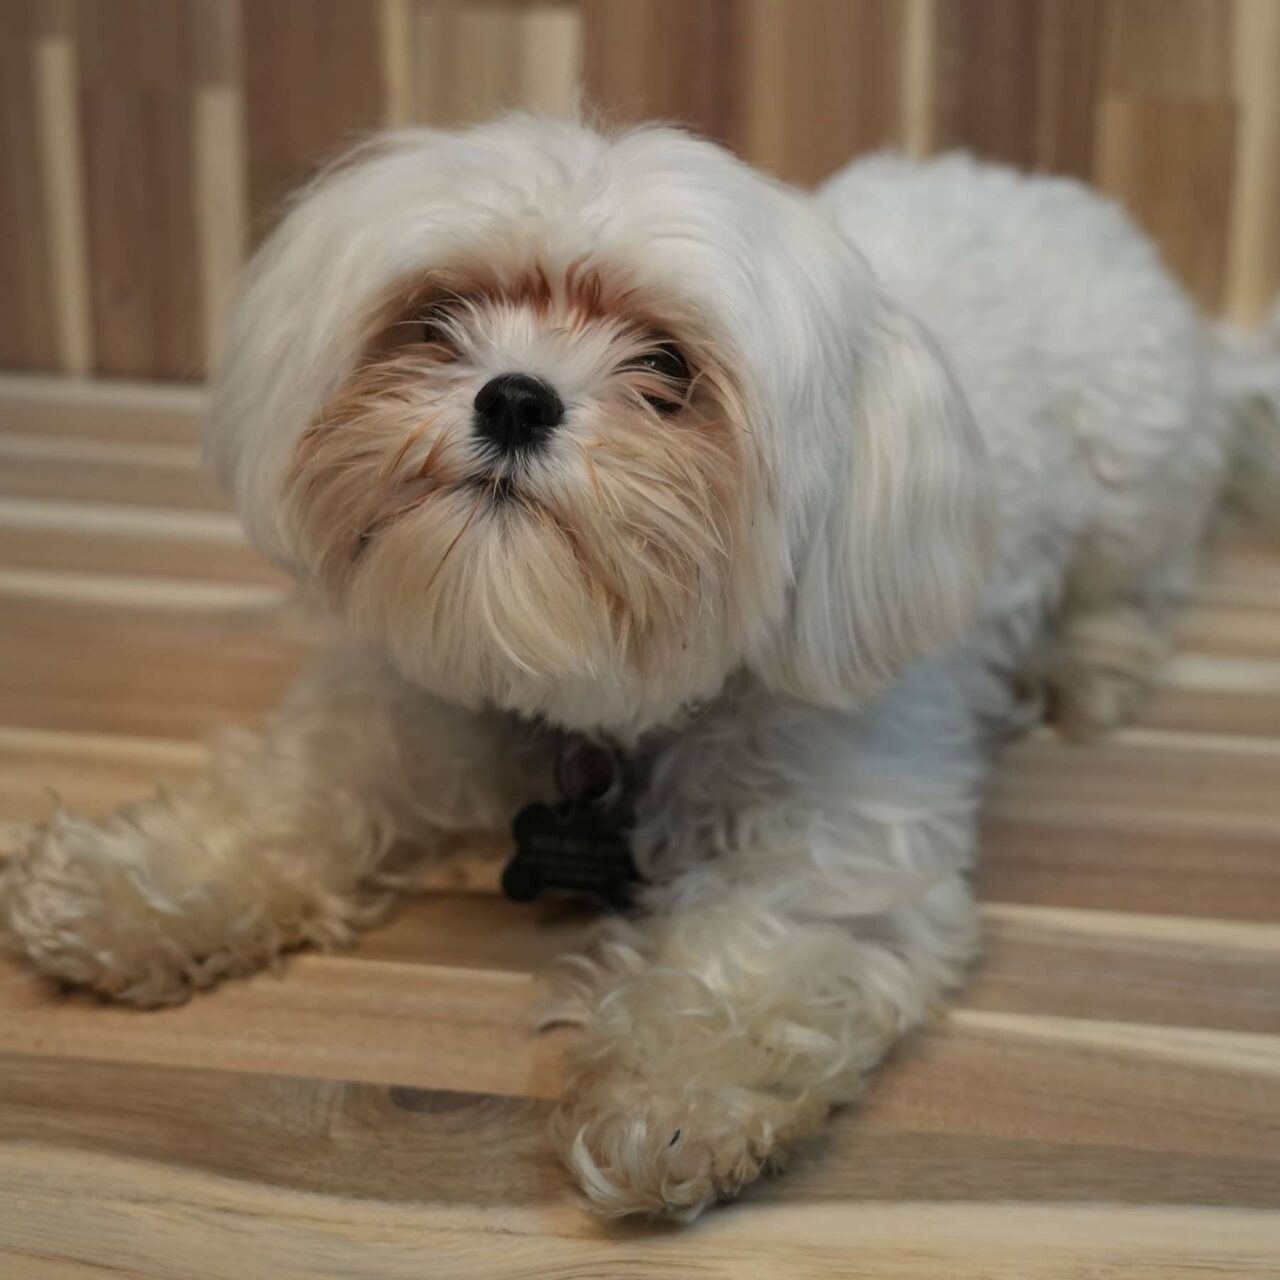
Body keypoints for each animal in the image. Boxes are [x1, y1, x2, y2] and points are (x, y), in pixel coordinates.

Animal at [4, 116, 1278, 1219]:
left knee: (1137, 577)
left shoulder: (836, 833)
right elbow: (287, 797)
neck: (584, 692)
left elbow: (755, 959)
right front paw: (129, 891)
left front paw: (668, 1100)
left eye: (667, 366)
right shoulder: (401, 713)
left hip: (1129, 483)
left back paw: (1087, 666)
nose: (514, 396)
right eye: (439, 314)